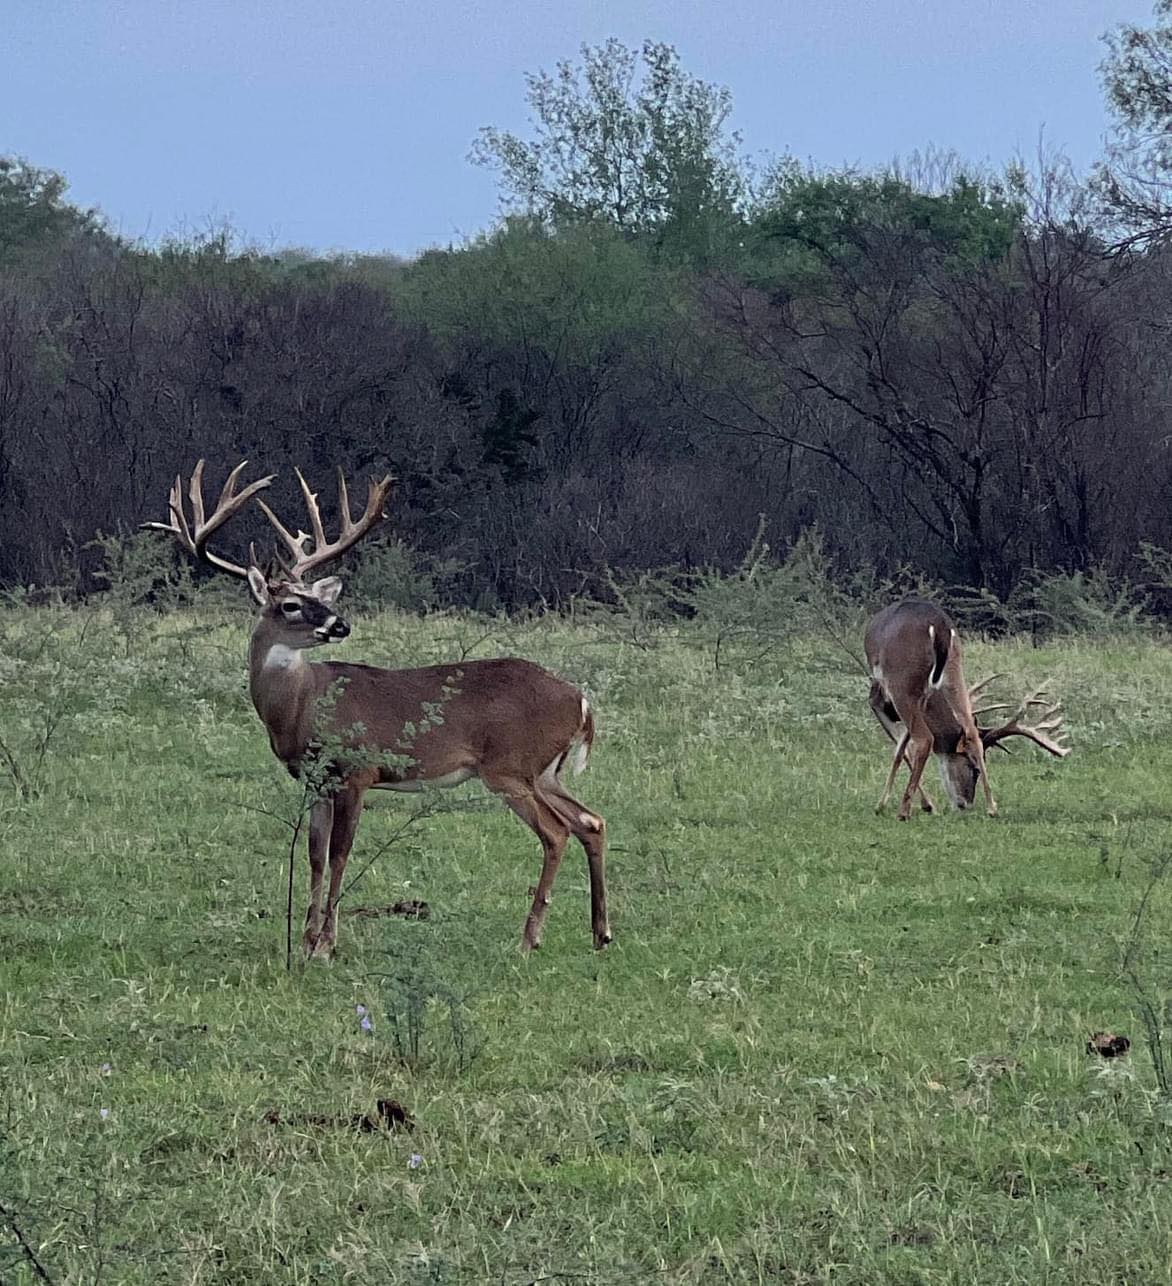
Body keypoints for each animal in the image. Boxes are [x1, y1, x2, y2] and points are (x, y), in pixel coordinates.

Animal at [145, 460, 610, 959]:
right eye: (291, 604)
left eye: (321, 599)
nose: (340, 624)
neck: (302, 707)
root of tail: (580, 701)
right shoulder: (316, 781)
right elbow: (314, 855)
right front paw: (306, 940)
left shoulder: (357, 771)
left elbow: (340, 854)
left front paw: (326, 944)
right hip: (545, 771)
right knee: (591, 821)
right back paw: (600, 933)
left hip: (511, 766)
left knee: (557, 832)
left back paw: (529, 938)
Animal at [865, 598, 1070, 821]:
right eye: (974, 769)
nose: (965, 804)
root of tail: (939, 626)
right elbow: (902, 745)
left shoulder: (879, 697)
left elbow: (900, 748)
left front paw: (895, 805)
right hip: (954, 668)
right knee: (971, 731)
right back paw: (992, 807)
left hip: (902, 680)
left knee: (924, 739)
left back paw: (903, 811)